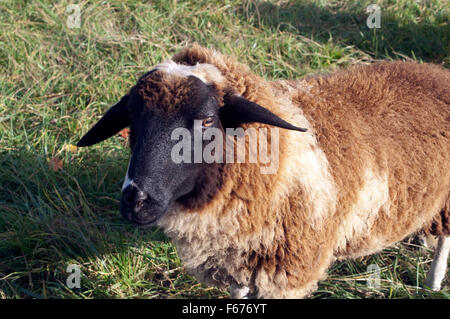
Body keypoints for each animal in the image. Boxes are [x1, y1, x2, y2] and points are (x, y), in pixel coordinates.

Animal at [75, 43, 448, 298]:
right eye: (131, 118)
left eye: (207, 121)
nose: (135, 199)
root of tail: (437, 72)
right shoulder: (241, 259)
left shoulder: (288, 273)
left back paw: (432, 283)